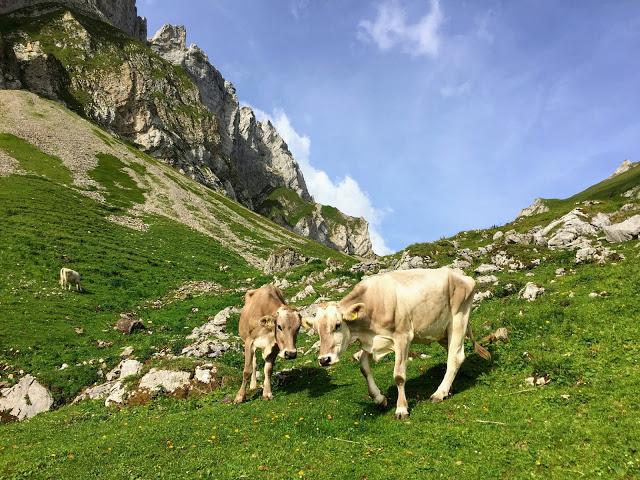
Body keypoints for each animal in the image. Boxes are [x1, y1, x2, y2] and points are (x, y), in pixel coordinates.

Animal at [304, 268, 490, 418]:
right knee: (451, 353)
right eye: (316, 330)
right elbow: (364, 368)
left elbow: (399, 376)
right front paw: (379, 398)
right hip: (442, 332)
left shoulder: (403, 337)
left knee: (456, 356)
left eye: (337, 325)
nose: (324, 360)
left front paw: (401, 409)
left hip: (458, 319)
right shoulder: (372, 341)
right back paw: (448, 388)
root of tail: (460, 273)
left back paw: (439, 393)